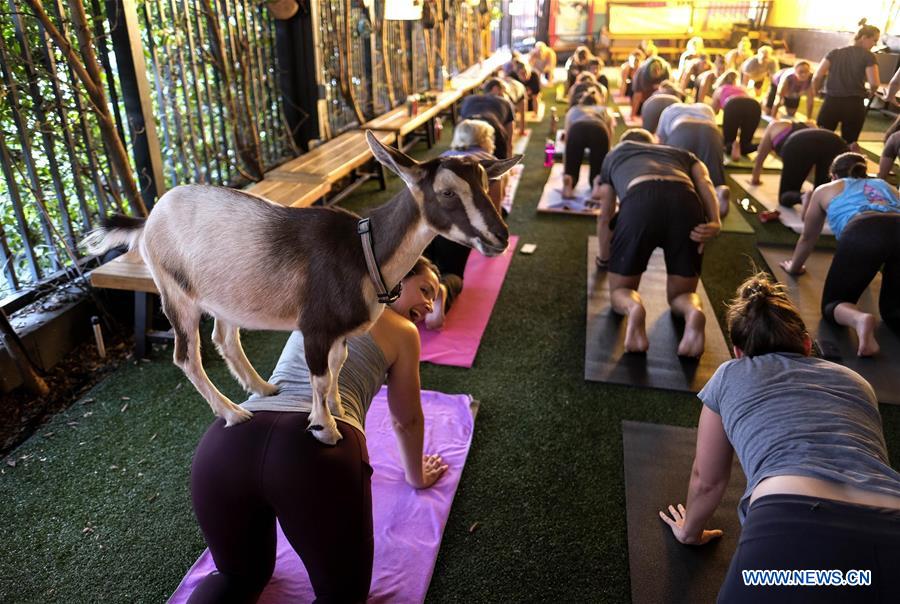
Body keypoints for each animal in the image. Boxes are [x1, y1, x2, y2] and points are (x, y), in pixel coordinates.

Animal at [86, 132, 520, 444]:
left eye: (486, 185)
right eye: (446, 192)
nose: (500, 237)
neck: (363, 252)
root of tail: (148, 221)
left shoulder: (340, 334)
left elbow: (337, 365)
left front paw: (334, 409)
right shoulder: (315, 327)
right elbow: (320, 374)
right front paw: (324, 428)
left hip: (225, 295)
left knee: (224, 337)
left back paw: (263, 388)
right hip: (176, 294)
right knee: (186, 355)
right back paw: (233, 412)